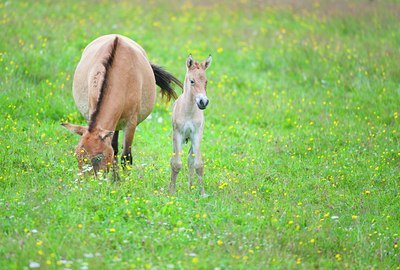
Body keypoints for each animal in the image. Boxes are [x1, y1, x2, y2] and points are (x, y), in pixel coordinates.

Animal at [62, 34, 181, 173]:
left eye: (98, 157)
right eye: (77, 156)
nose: (88, 180)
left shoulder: (130, 124)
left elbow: (126, 157)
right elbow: (114, 151)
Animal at [169, 54, 212, 194]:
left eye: (206, 81)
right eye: (192, 81)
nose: (203, 102)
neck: (188, 111)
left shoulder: (196, 134)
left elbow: (198, 164)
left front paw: (202, 193)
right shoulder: (178, 134)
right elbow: (176, 164)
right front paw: (171, 193)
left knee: (190, 159)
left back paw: (190, 187)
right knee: (173, 159)